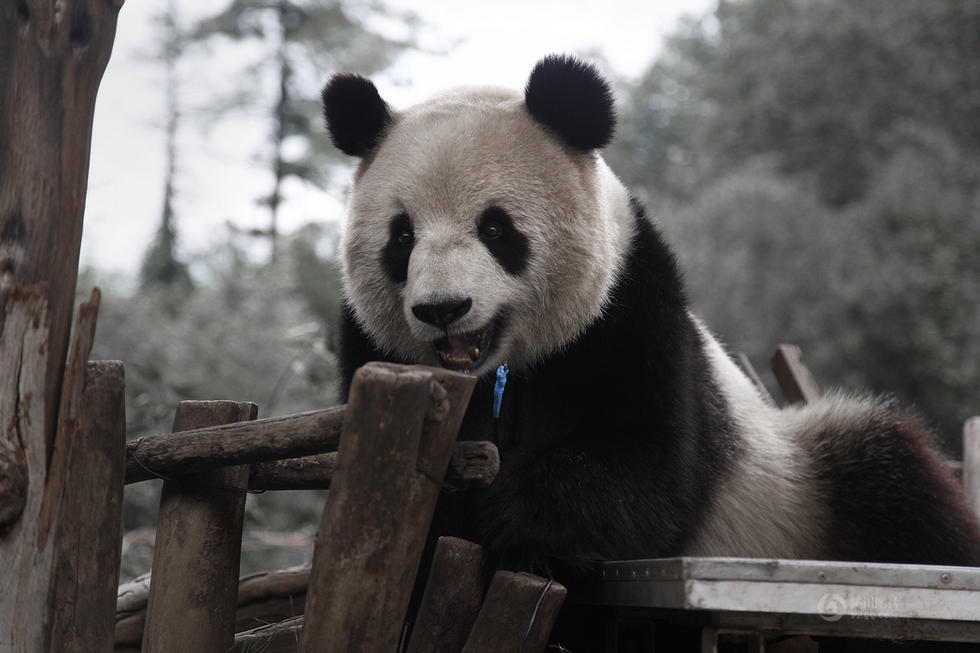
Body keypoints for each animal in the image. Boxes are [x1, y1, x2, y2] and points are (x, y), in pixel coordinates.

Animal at [324, 56, 980, 576]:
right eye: (401, 237)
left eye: (496, 228)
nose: (443, 309)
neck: (499, 375)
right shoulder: (372, 349)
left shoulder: (629, 315)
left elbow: (647, 470)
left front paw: (512, 516)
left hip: (802, 484)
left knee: (894, 480)